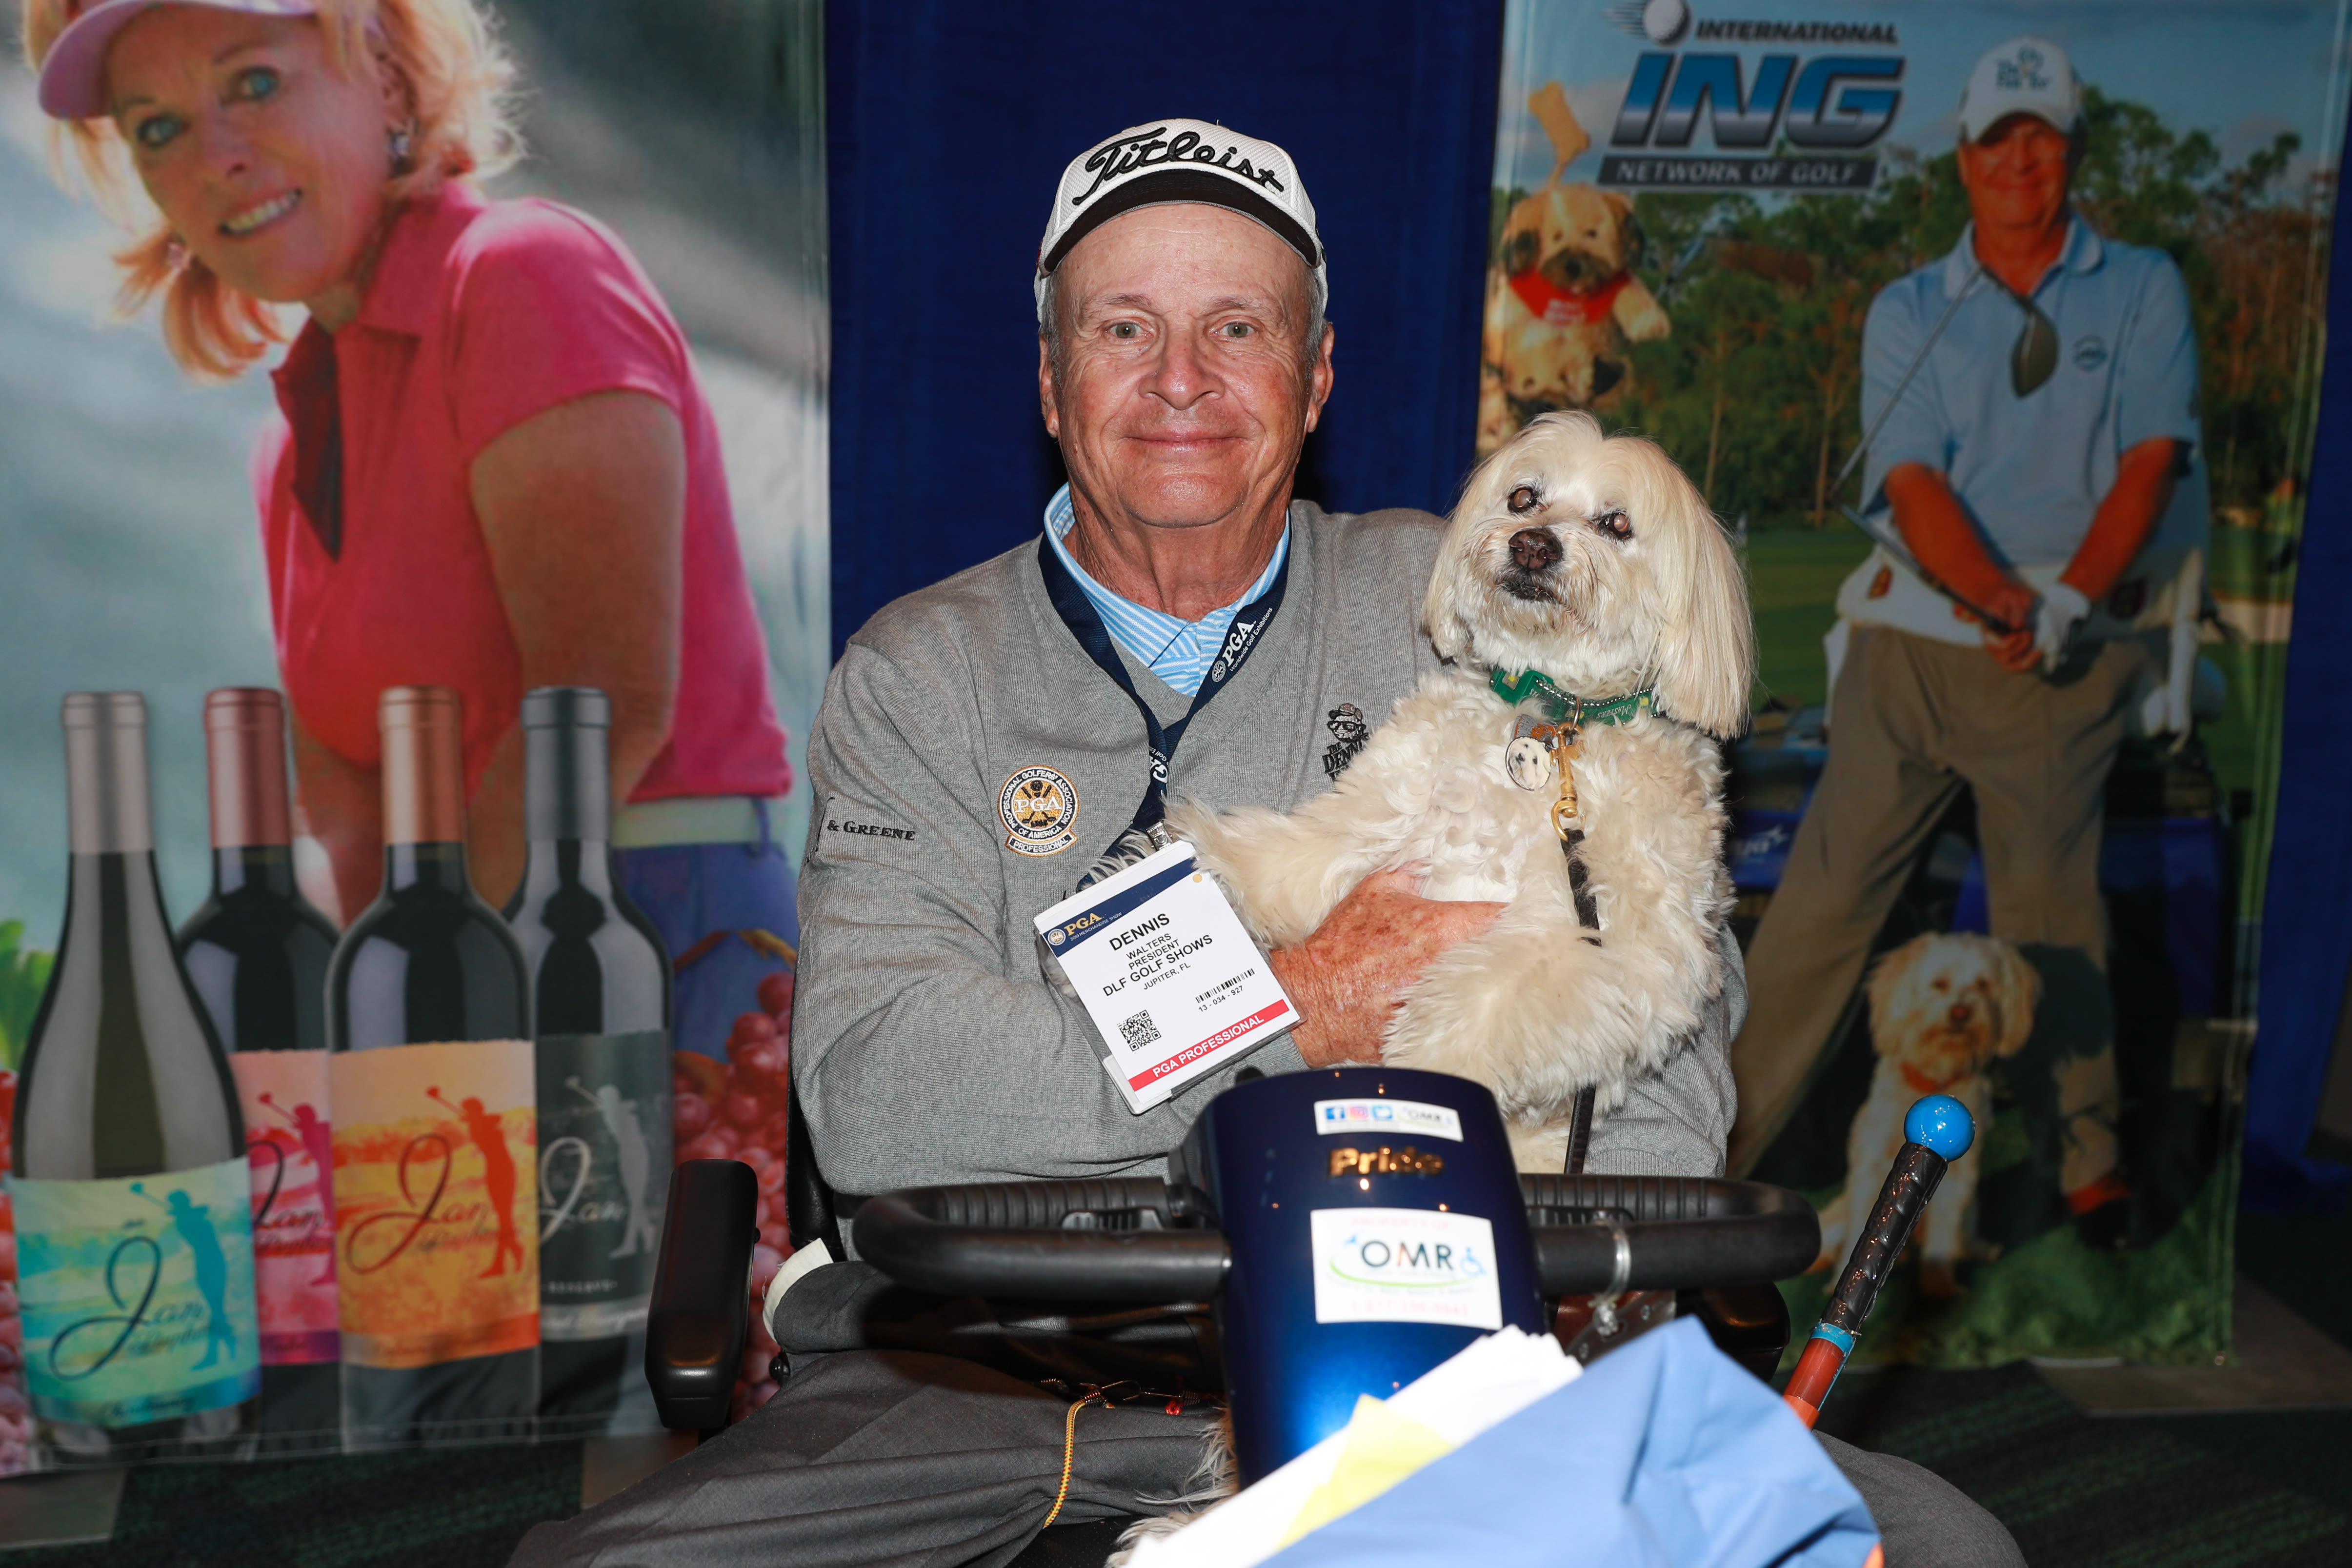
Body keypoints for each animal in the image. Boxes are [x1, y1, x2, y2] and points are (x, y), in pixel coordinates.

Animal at [1171, 411, 1749, 1170]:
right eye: (1523, 497)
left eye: (1617, 523)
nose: (1533, 544)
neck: (1552, 715)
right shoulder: (1392, 803)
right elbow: (1307, 850)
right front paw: (1206, 859)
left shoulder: (1616, 945)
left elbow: (1490, 997)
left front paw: (1428, 1064)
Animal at [1815, 940, 2041, 1297]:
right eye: (1939, 984)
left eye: (1984, 984)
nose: (1961, 1013)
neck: (1936, 1079)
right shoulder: (1872, 1171)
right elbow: (1860, 1236)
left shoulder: (1956, 1178)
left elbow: (1943, 1234)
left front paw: (1939, 1285)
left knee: (1962, 1236)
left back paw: (1977, 1250)